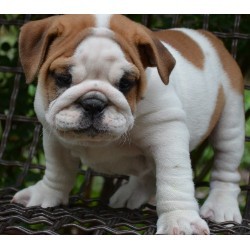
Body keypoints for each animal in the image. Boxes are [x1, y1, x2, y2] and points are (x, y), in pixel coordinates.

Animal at [12, 15, 245, 234]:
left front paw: (180, 220)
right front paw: (46, 193)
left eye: (125, 83)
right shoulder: (54, 136)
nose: (93, 103)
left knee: (226, 167)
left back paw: (220, 205)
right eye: (62, 78)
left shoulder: (168, 132)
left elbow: (174, 177)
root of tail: (209, 37)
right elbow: (57, 170)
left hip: (230, 122)